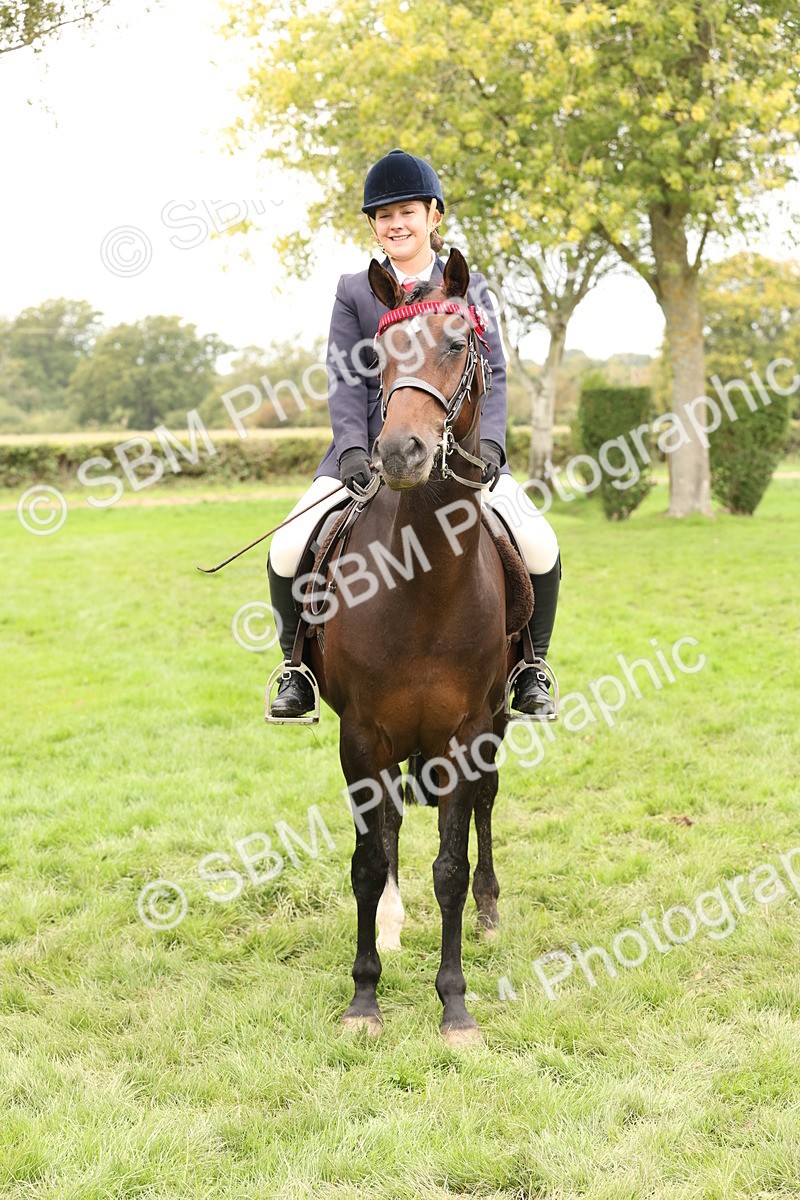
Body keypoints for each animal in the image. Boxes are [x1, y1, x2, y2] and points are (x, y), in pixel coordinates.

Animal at [305, 247, 527, 1045]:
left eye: (460, 344)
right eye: (377, 355)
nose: (400, 452)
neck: (422, 579)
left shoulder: (465, 730)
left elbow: (451, 866)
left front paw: (455, 1007)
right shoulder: (362, 733)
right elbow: (368, 862)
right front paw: (364, 999)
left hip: (498, 719)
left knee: (486, 803)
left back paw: (491, 910)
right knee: (393, 821)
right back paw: (395, 925)